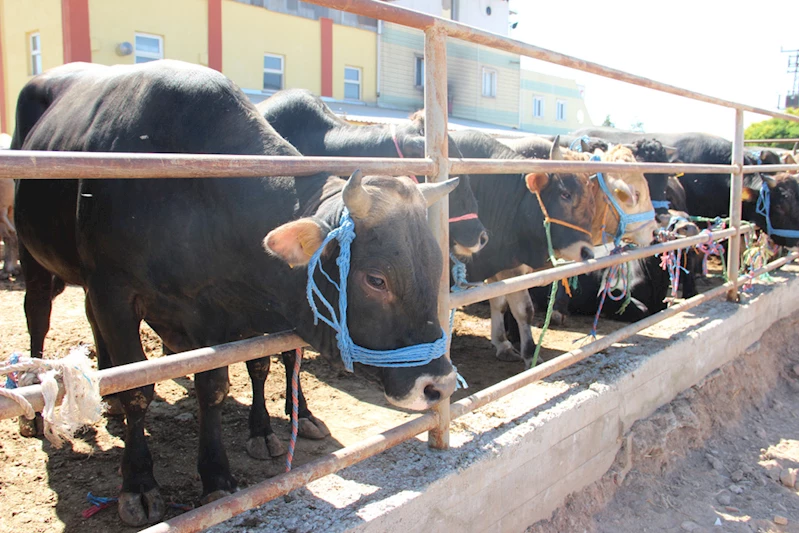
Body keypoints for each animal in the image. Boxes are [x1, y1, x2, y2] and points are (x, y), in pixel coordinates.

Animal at [12, 60, 460, 524]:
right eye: (376, 279)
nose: (440, 385)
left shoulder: (217, 313)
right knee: (38, 315)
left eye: (435, 263)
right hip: (34, 255)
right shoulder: (115, 292)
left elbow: (218, 386)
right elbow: (138, 389)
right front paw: (138, 483)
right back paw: (36, 408)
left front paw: (219, 474)